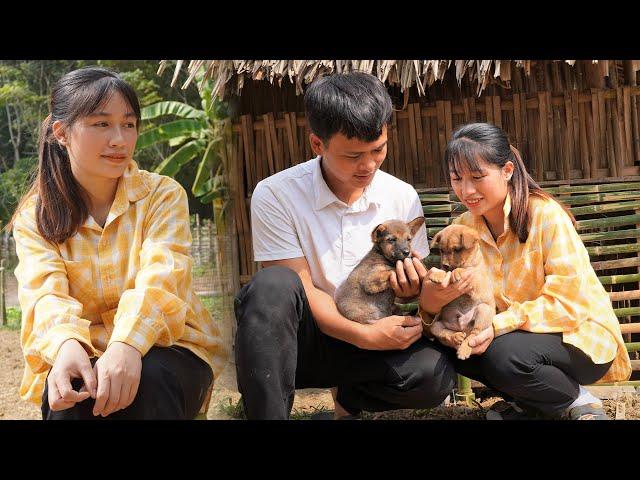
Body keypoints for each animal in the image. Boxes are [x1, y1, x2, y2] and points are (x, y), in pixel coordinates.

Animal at [428, 225, 498, 360]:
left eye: (457, 249)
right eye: (441, 250)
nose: (445, 265)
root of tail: (464, 329)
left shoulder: (478, 284)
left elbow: (467, 271)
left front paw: (458, 272)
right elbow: (443, 271)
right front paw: (437, 274)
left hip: (483, 310)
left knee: (473, 335)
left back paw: (464, 350)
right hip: (436, 325)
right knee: (445, 332)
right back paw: (456, 337)